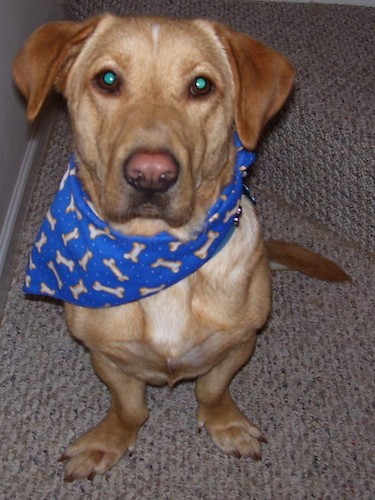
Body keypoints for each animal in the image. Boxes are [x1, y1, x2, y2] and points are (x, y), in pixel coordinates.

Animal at [13, 14, 350, 480]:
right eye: (108, 79)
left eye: (201, 86)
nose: (151, 174)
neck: (156, 258)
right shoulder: (107, 357)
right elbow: (129, 409)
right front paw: (108, 441)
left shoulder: (239, 344)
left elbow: (211, 391)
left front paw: (226, 424)